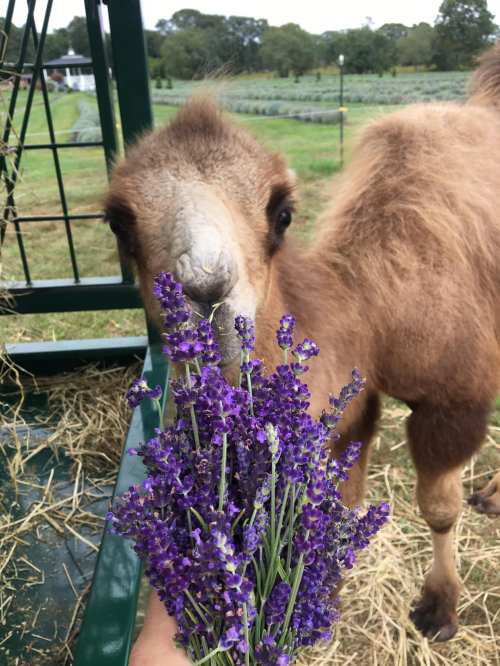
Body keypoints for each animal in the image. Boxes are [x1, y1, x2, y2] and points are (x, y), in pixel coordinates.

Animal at [105, 44, 500, 644]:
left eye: (283, 212)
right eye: (117, 223)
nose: (205, 293)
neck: (373, 309)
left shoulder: (454, 399)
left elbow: (438, 508)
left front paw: (440, 609)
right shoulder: (355, 409)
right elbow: (340, 499)